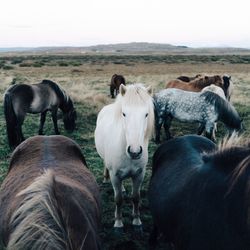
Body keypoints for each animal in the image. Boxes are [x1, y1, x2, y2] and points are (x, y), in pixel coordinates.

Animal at [94, 83, 154, 231]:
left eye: (146, 114)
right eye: (124, 114)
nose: (135, 151)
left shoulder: (139, 175)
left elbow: (136, 197)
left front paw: (137, 221)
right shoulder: (115, 175)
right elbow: (118, 199)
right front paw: (118, 222)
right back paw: (105, 179)